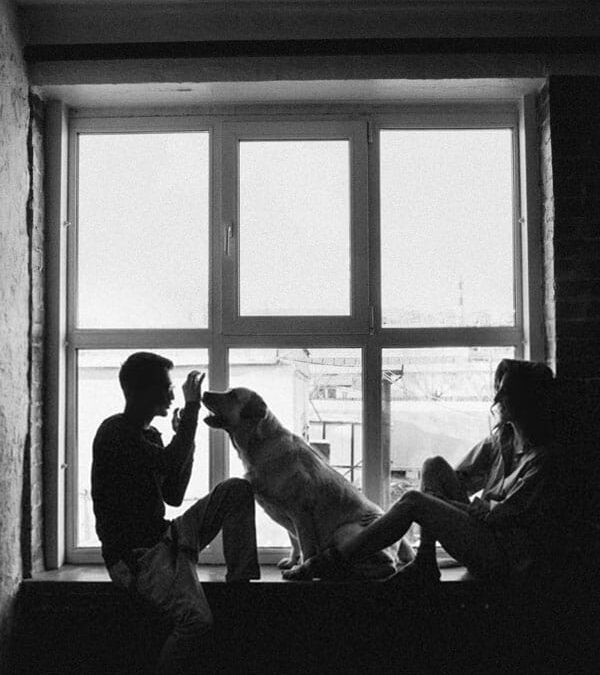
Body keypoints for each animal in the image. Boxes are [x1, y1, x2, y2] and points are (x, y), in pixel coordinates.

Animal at [202, 387, 414, 580]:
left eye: (232, 395)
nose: (204, 392)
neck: (261, 444)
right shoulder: (290, 519)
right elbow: (294, 541)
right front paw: (292, 561)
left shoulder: (301, 512)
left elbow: (306, 546)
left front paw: (301, 569)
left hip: (345, 531)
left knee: (388, 565)